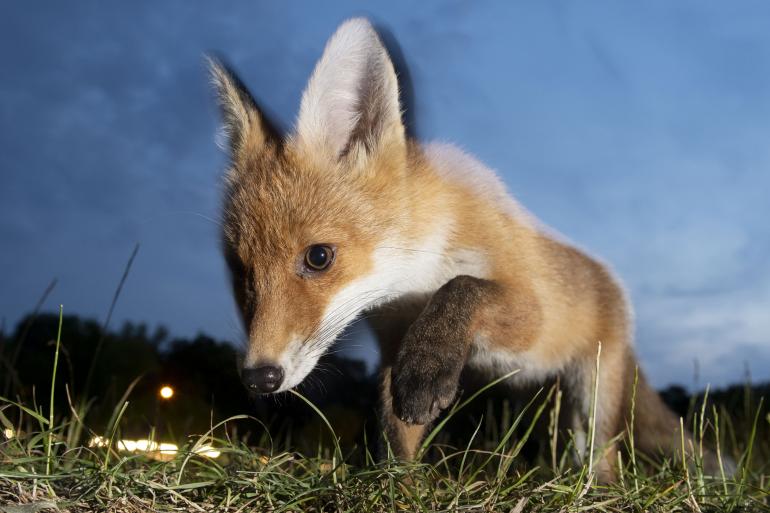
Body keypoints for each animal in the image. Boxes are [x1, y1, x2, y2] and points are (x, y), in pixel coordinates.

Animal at [208, 17, 728, 480]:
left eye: (318, 257)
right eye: (242, 273)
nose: (259, 377)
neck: (413, 280)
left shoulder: (531, 312)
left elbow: (463, 287)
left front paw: (430, 366)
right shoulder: (392, 343)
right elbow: (394, 433)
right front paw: (398, 487)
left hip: (593, 392)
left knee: (603, 457)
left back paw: (597, 488)